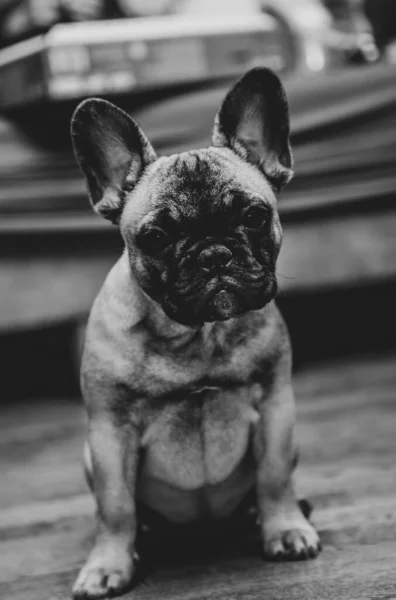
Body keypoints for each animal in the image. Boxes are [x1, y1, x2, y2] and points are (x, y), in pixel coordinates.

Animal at [69, 68, 320, 596]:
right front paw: (107, 565)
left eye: (255, 216)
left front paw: (284, 528)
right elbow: (115, 506)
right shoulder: (109, 433)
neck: (197, 335)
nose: (214, 255)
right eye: (155, 237)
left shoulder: (275, 408)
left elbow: (273, 477)